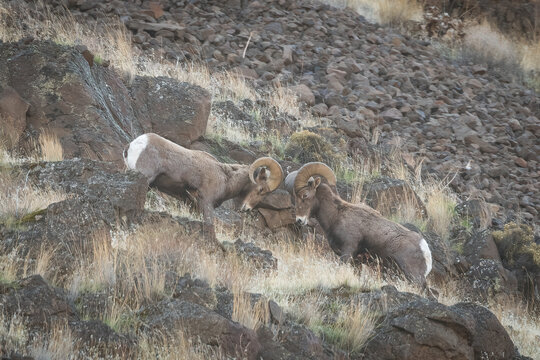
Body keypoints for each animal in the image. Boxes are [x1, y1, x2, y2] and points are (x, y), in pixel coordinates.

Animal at [288, 162, 432, 284]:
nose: (299, 220)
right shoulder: (356, 262)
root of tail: (424, 248)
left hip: (412, 277)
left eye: (305, 195)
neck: (336, 216)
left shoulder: (347, 252)